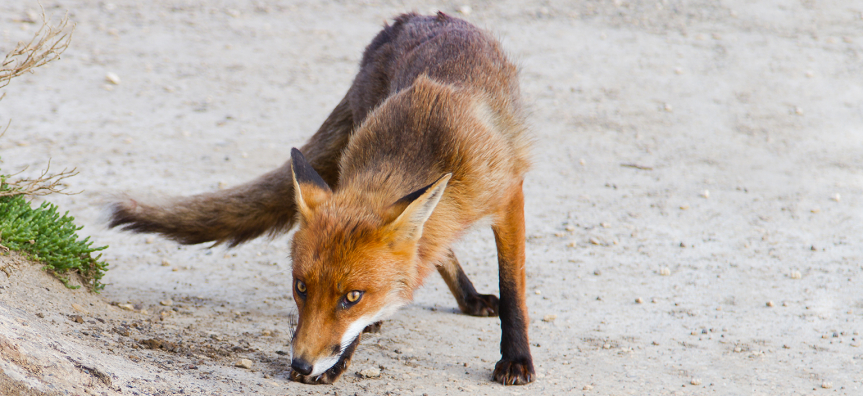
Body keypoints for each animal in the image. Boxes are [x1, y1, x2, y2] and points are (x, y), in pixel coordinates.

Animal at [109, 11, 532, 384]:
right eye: (301, 287)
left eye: (352, 296)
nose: (300, 364)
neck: (423, 145)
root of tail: (413, 17)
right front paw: (339, 361)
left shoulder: (509, 195)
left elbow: (512, 286)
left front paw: (516, 359)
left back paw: (469, 299)